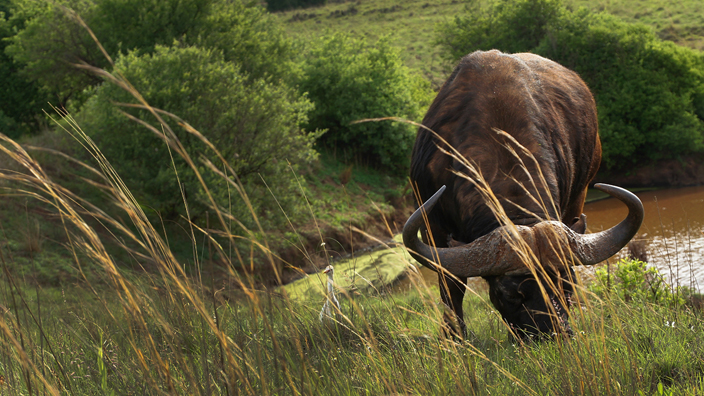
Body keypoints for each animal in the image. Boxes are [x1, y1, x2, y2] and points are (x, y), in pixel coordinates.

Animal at [402, 49, 644, 338]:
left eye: (566, 285)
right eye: (509, 295)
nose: (554, 333)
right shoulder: (434, 227)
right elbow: (452, 285)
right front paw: (454, 336)